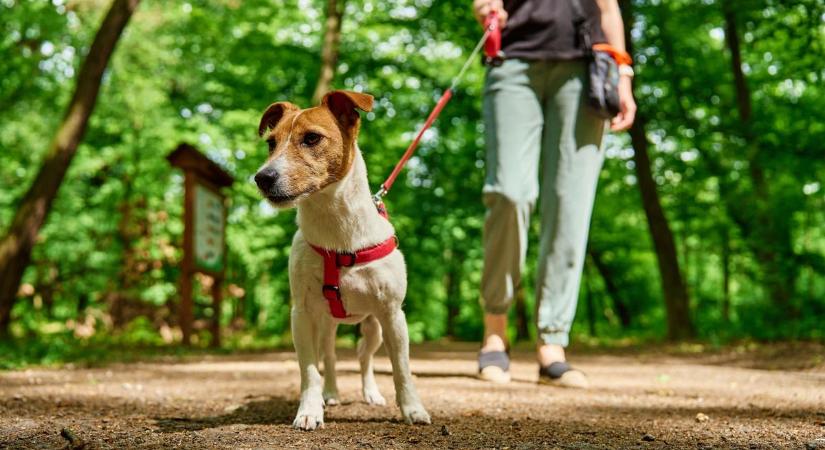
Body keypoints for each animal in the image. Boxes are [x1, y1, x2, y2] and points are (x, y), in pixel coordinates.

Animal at [253, 90, 432, 428]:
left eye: (311, 138)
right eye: (271, 142)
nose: (262, 177)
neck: (337, 234)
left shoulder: (393, 315)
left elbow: (402, 369)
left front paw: (413, 409)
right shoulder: (301, 315)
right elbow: (309, 371)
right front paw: (310, 410)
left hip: (375, 327)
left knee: (364, 356)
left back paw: (371, 393)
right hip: (326, 325)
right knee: (331, 356)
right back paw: (331, 393)